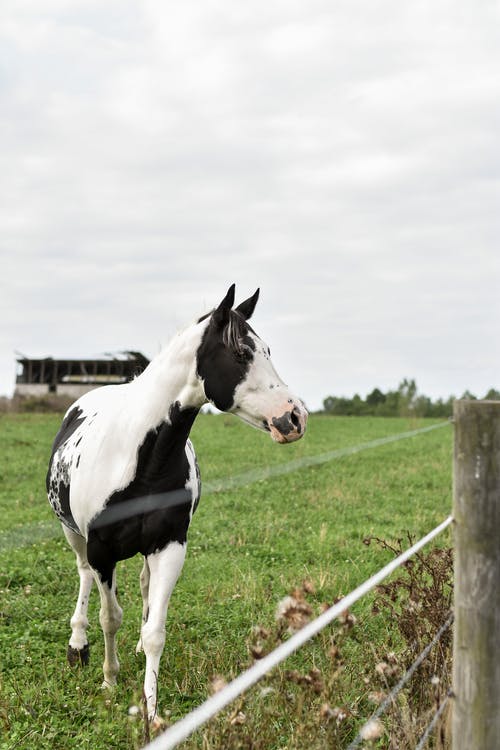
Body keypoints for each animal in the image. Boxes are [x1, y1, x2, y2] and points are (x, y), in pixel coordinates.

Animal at [47, 284, 306, 724]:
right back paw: (77, 645)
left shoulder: (169, 546)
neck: (139, 457)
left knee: (143, 586)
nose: (294, 417)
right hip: (73, 534)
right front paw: (109, 680)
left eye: (268, 350)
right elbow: (109, 617)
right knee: (83, 577)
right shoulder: (101, 552)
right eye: (242, 353)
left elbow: (155, 631)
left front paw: (151, 710)